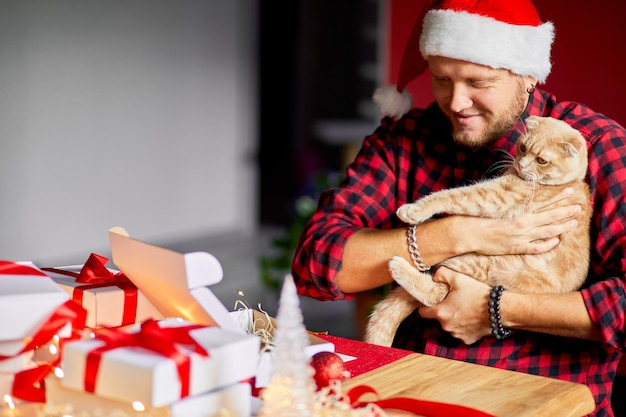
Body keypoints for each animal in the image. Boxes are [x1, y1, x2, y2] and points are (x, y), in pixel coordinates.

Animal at [364, 115, 588, 346]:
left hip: (474, 263)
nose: (521, 164)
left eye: (542, 160)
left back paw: (398, 267)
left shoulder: (495, 195)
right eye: (523, 148)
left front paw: (414, 210)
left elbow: (453, 195)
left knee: (437, 294)